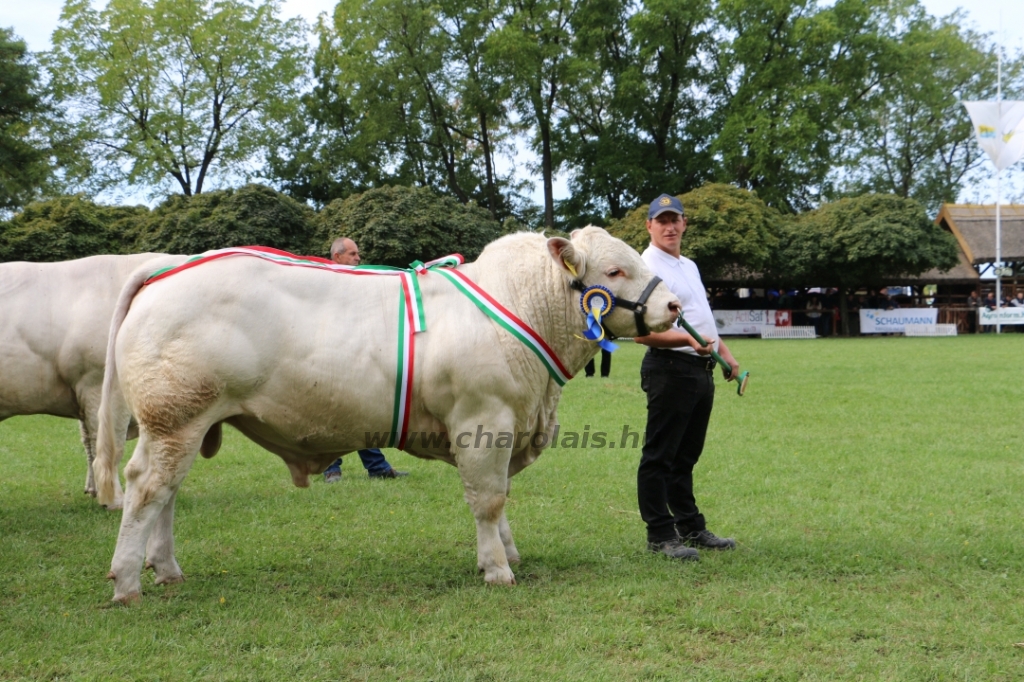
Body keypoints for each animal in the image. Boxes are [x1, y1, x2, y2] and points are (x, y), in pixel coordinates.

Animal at [92, 228, 675, 602]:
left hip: (183, 424)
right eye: (615, 270)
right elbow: (488, 500)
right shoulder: (483, 423)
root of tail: (170, 267)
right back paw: (127, 580)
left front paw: (508, 553)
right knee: (146, 487)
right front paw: (496, 569)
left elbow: (502, 499)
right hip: (174, 417)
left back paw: (166, 569)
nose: (672, 306)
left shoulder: (507, 429)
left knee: (167, 493)